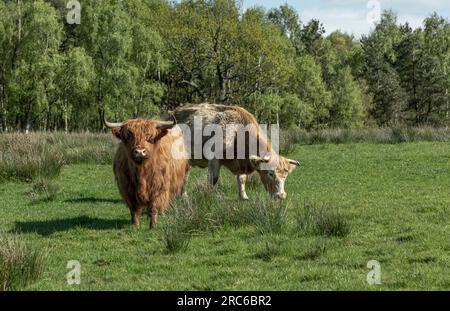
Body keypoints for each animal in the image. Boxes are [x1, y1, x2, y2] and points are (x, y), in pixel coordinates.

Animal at [169, 102, 298, 200]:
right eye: (270, 173)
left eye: (286, 174)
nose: (281, 195)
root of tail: (175, 111)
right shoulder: (214, 159)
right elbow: (213, 179)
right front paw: (208, 197)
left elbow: (242, 179)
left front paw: (243, 196)